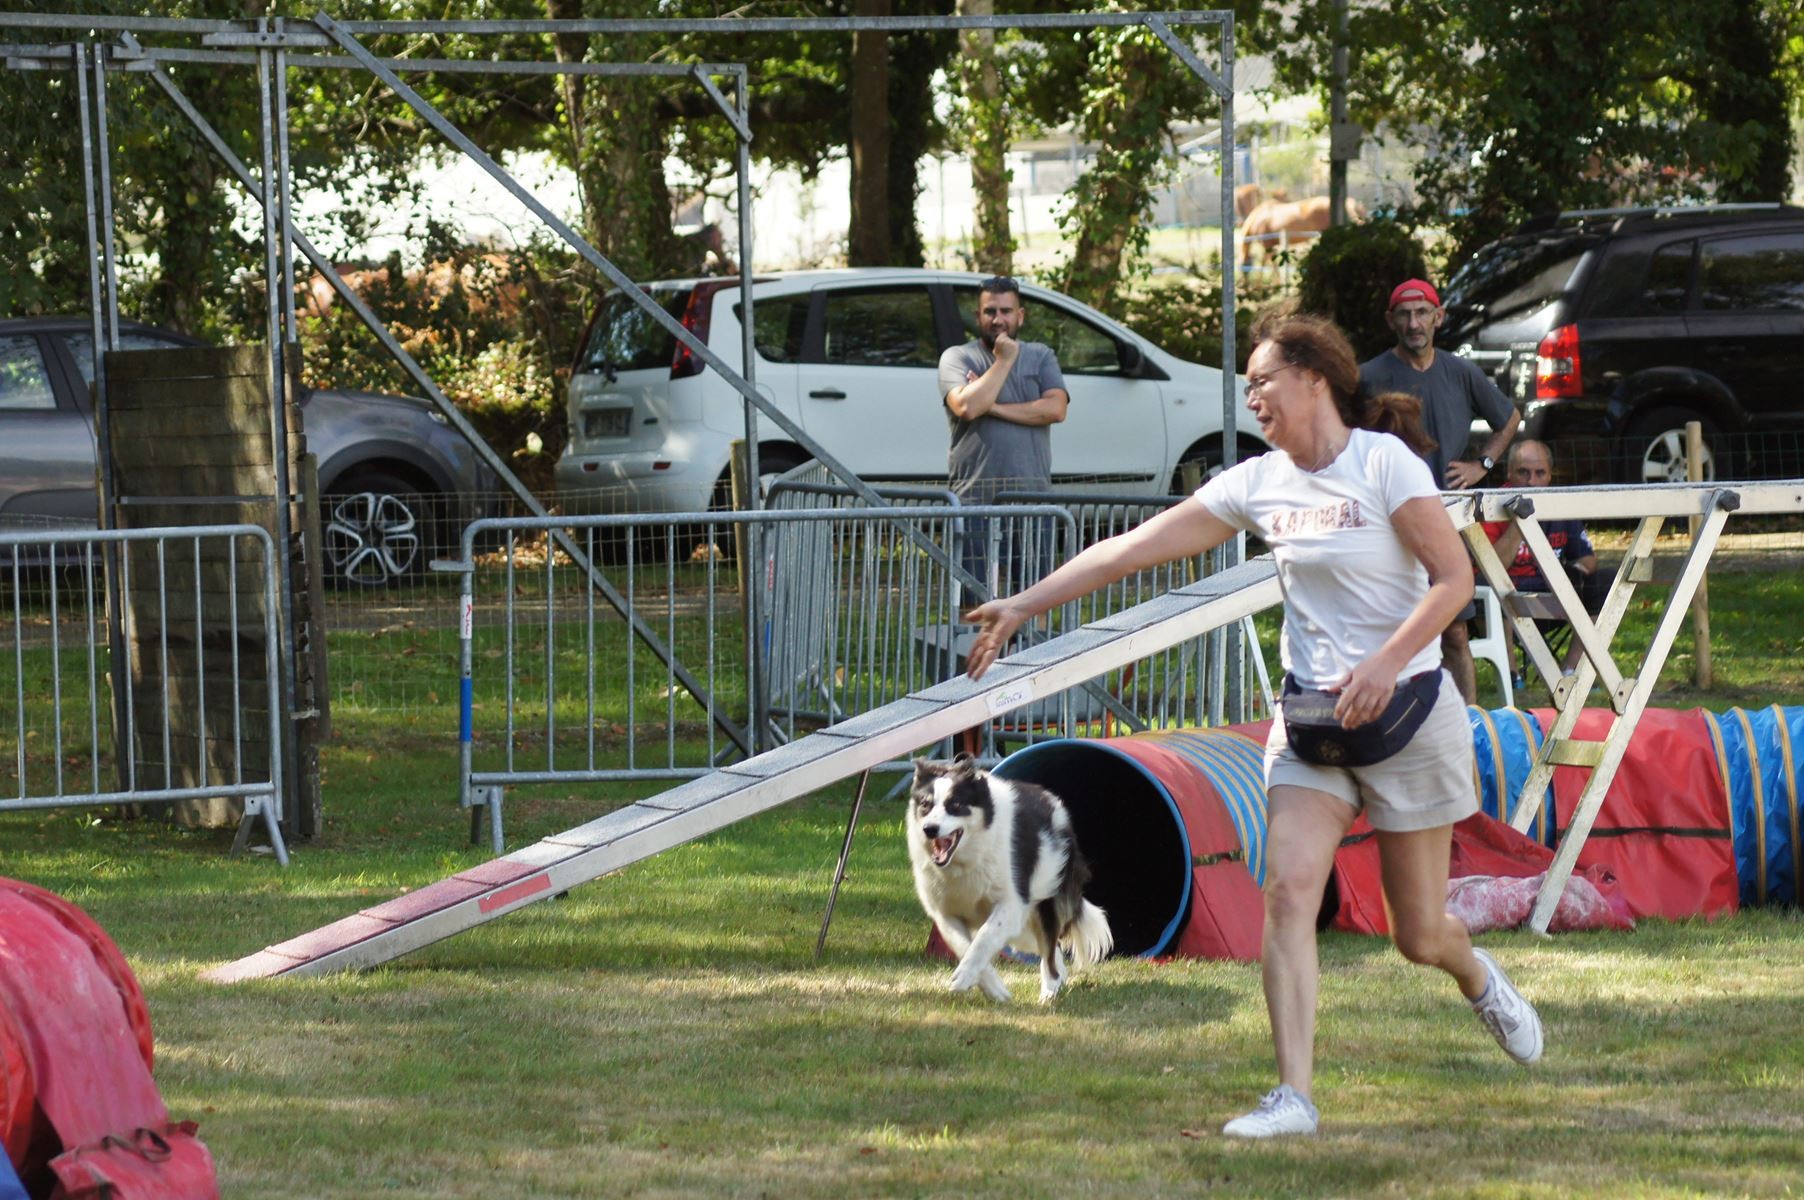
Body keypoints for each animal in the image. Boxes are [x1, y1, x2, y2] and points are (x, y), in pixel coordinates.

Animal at [909, 757, 1104, 1003]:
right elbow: (964, 945)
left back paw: (1049, 992)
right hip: (1024, 929)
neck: (966, 860)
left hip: (1045, 899)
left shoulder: (1011, 904)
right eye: (925, 805)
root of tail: (1052, 802)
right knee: (1053, 950)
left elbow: (984, 937)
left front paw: (964, 977)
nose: (930, 829)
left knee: (1050, 951)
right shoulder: (945, 914)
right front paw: (992, 988)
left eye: (955, 805)